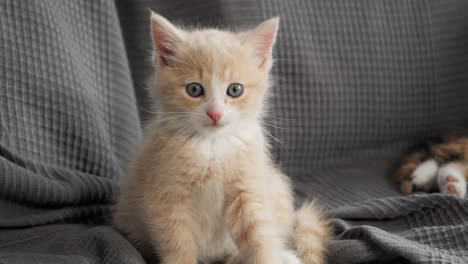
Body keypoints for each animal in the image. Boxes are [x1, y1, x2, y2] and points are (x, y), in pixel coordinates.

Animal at [114, 11, 330, 264]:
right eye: (194, 89)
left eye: (235, 90)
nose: (214, 113)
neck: (212, 146)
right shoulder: (166, 199)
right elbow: (178, 244)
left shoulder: (248, 189)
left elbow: (259, 235)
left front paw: (268, 256)